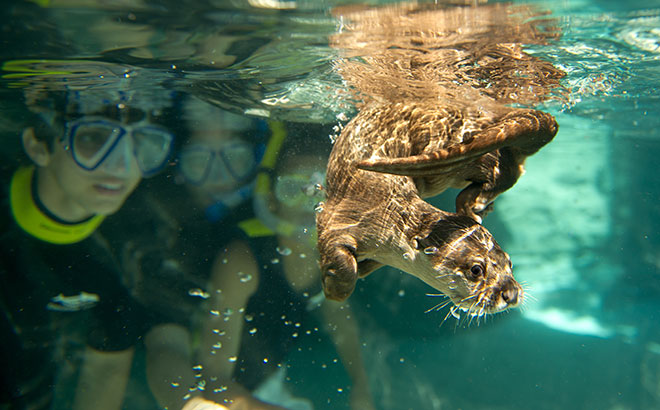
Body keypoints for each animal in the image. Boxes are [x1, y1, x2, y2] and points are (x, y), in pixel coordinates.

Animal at [316, 101, 557, 316]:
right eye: (476, 270)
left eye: (509, 263)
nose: (510, 293)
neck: (387, 214)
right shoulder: (341, 220)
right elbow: (344, 263)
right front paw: (334, 289)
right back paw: (475, 206)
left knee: (504, 171)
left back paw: (473, 205)